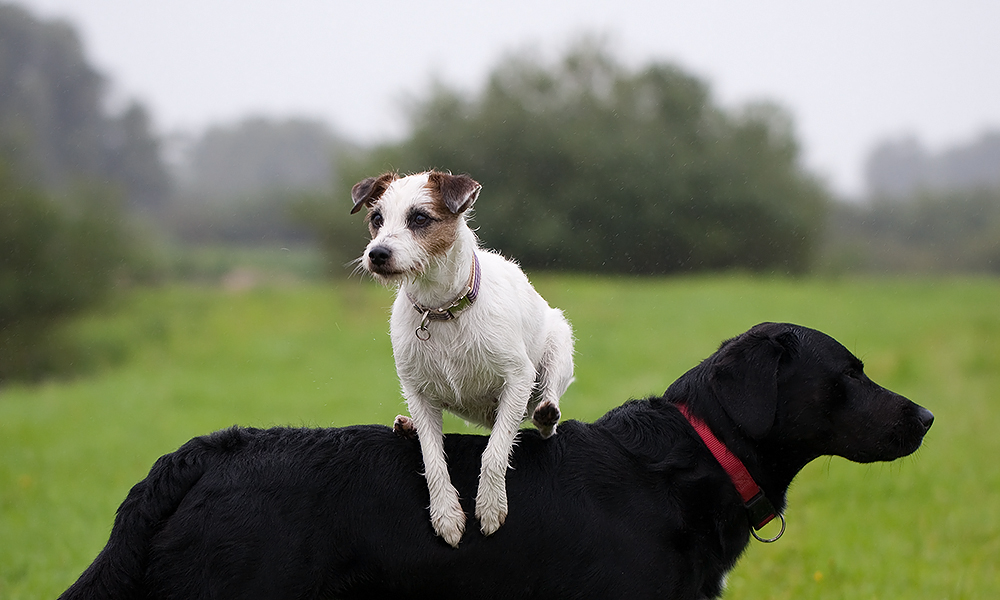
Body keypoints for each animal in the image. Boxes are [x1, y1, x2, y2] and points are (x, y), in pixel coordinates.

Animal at [352, 170, 576, 548]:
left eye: (420, 218)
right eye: (376, 219)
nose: (377, 253)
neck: (440, 310)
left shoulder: (517, 378)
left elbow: (495, 450)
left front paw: (490, 504)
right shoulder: (417, 391)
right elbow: (432, 457)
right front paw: (446, 514)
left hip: (559, 342)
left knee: (544, 412)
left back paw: (547, 413)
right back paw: (408, 427)